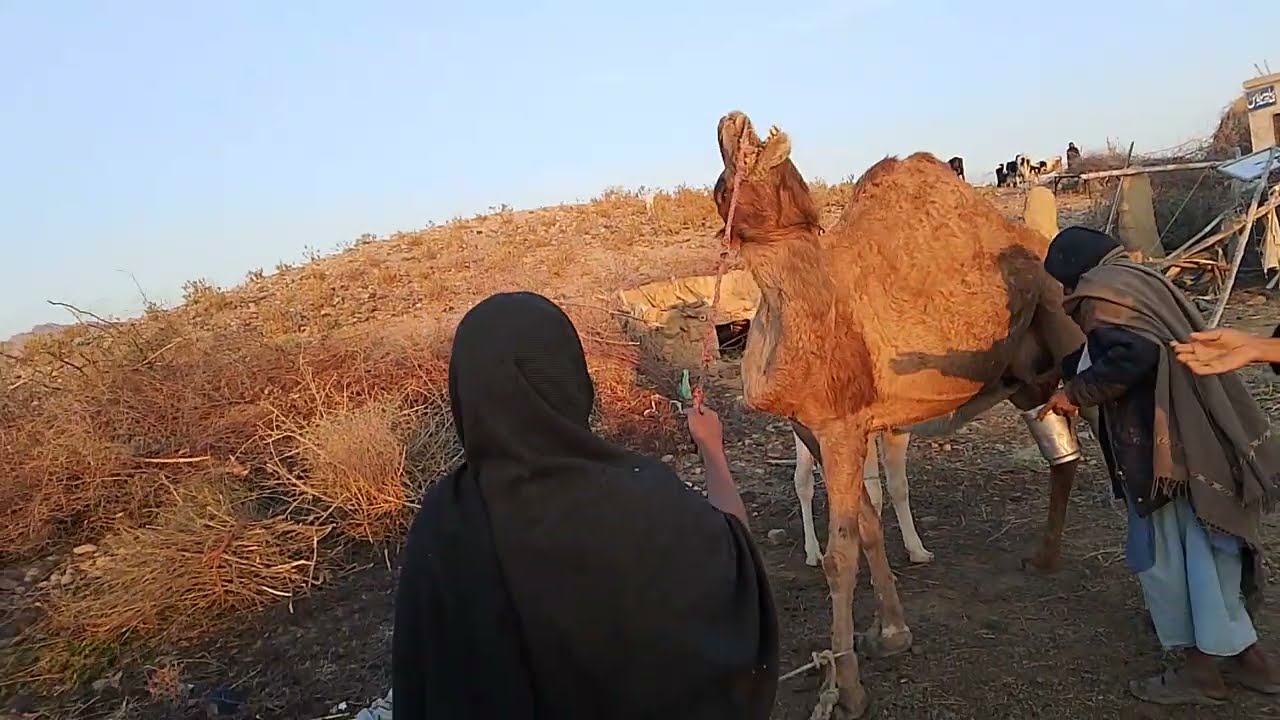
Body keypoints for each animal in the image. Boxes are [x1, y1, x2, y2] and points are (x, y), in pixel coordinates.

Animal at [712, 111, 1089, 717]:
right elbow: (868, 525)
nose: (735, 119)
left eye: (754, 160)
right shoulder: (818, 429)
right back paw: (1044, 557)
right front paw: (890, 634)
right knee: (1063, 450)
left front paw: (847, 689)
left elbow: (842, 551)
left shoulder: (839, 426)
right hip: (1027, 376)